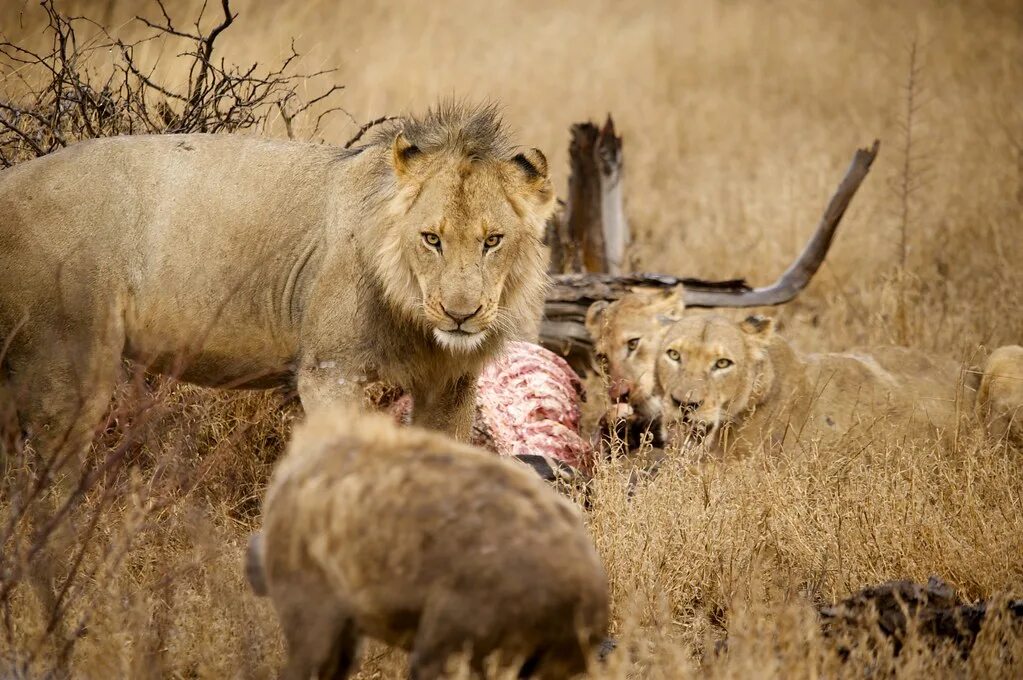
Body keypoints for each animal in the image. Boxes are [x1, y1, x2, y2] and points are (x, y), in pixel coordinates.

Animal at [0, 103, 552, 470]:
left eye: (493, 241)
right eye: (431, 239)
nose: (461, 314)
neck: (412, 312)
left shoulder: (450, 386)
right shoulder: (329, 372)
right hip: (67, 362)